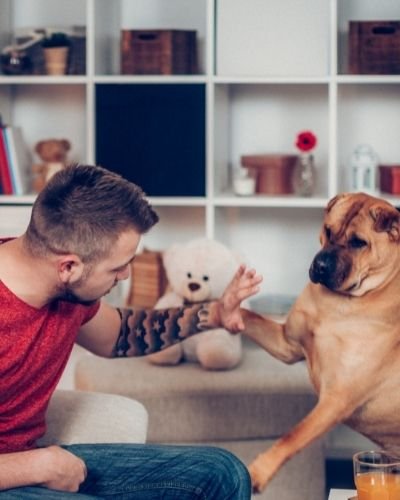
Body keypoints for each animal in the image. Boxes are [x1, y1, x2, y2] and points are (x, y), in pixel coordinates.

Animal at [242, 192, 400, 492]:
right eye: (328, 230)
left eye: (358, 242)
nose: (321, 265)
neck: (341, 304)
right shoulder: (287, 344)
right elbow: (248, 316)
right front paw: (215, 310)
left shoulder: (335, 399)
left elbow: (292, 436)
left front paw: (258, 472)